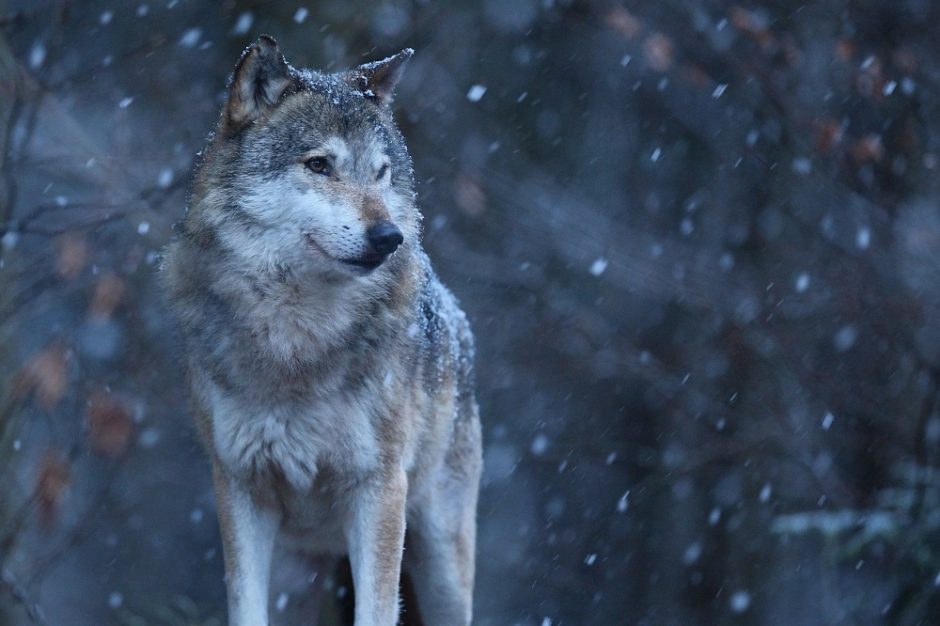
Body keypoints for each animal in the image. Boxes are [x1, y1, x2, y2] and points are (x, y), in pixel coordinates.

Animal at [162, 35, 482, 624]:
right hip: (298, 580)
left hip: (442, 567)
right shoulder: (239, 488)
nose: (389, 237)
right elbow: (243, 608)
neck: (297, 339)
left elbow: (376, 613)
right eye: (319, 165)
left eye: (381, 172)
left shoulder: (378, 489)